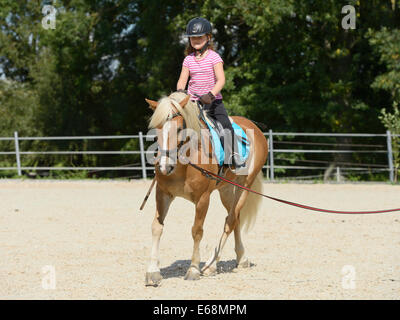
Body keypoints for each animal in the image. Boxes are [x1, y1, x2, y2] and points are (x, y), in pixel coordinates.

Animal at [144, 91, 268, 286]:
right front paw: (152, 272)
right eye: (157, 128)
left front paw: (193, 269)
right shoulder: (162, 194)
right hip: (226, 189)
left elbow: (197, 231)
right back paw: (241, 258)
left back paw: (210, 265)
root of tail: (253, 127)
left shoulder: (203, 198)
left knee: (230, 220)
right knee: (235, 218)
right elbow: (157, 227)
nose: (165, 166)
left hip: (244, 186)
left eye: (179, 129)